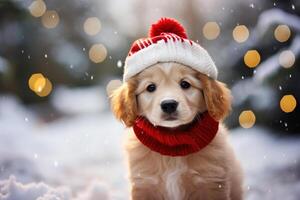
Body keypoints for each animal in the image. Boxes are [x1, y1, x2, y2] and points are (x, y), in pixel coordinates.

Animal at [110, 61, 244, 199]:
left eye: (185, 84)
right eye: (150, 87)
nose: (169, 104)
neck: (173, 144)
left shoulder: (211, 182)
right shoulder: (145, 183)